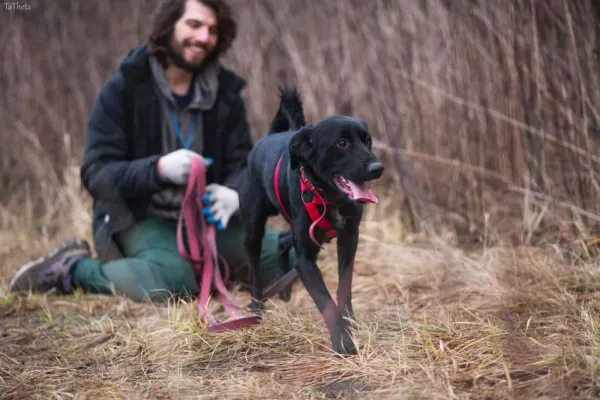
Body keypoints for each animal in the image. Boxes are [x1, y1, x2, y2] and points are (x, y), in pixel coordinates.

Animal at [239, 86, 384, 354]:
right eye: (342, 143)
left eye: (367, 140)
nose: (378, 168)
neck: (329, 197)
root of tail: (269, 137)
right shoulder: (305, 260)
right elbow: (324, 300)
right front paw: (342, 342)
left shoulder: (349, 239)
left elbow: (343, 287)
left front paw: (350, 324)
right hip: (253, 229)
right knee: (254, 267)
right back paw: (257, 308)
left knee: (283, 239)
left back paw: (285, 290)